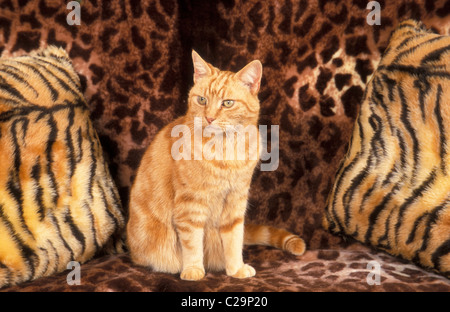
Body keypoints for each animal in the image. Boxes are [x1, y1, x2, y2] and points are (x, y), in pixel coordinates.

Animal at [125, 51, 306, 280]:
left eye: (227, 103)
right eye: (202, 100)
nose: (209, 117)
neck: (226, 150)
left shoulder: (235, 202)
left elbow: (234, 240)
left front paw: (236, 268)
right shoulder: (190, 204)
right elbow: (192, 243)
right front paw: (193, 269)